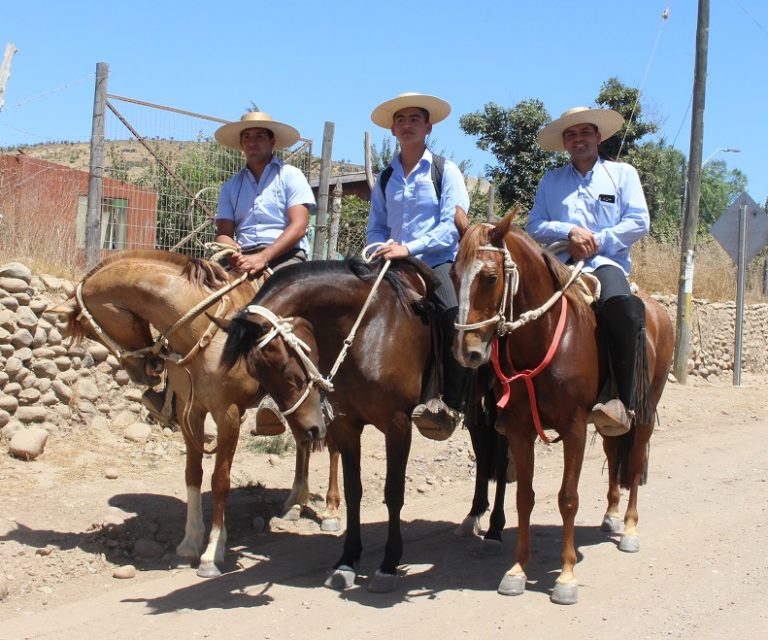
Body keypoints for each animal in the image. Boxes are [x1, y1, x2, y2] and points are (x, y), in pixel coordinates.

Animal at [48, 251, 336, 580]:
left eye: (91, 328)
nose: (145, 371)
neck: (202, 334)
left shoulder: (228, 414)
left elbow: (220, 480)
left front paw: (212, 552)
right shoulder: (192, 412)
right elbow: (193, 475)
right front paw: (189, 543)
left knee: (334, 445)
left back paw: (331, 510)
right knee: (304, 441)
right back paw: (294, 502)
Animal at [219, 256, 448, 596]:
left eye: (285, 366)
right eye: (257, 374)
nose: (308, 431)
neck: (370, 329)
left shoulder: (397, 424)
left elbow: (393, 492)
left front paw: (388, 565)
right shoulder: (345, 423)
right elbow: (354, 490)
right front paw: (347, 561)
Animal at [452, 216, 676, 604]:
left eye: (491, 277)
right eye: (453, 274)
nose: (468, 351)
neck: (542, 338)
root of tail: (656, 309)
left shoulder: (573, 429)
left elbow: (568, 499)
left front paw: (566, 577)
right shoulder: (519, 429)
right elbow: (524, 497)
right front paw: (517, 570)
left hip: (646, 411)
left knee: (633, 466)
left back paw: (629, 529)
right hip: (607, 423)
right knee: (614, 452)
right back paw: (611, 514)